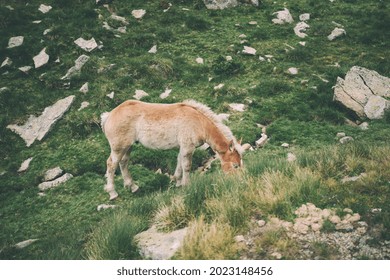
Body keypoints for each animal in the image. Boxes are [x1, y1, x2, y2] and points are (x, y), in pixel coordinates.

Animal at [100, 99, 242, 200]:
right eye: (235, 165)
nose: (239, 181)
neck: (199, 122)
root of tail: (109, 115)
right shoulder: (188, 147)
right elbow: (186, 166)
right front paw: (186, 185)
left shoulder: (182, 147)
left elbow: (179, 163)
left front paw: (177, 181)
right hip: (119, 148)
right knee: (111, 164)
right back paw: (113, 193)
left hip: (128, 147)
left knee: (123, 162)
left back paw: (133, 187)